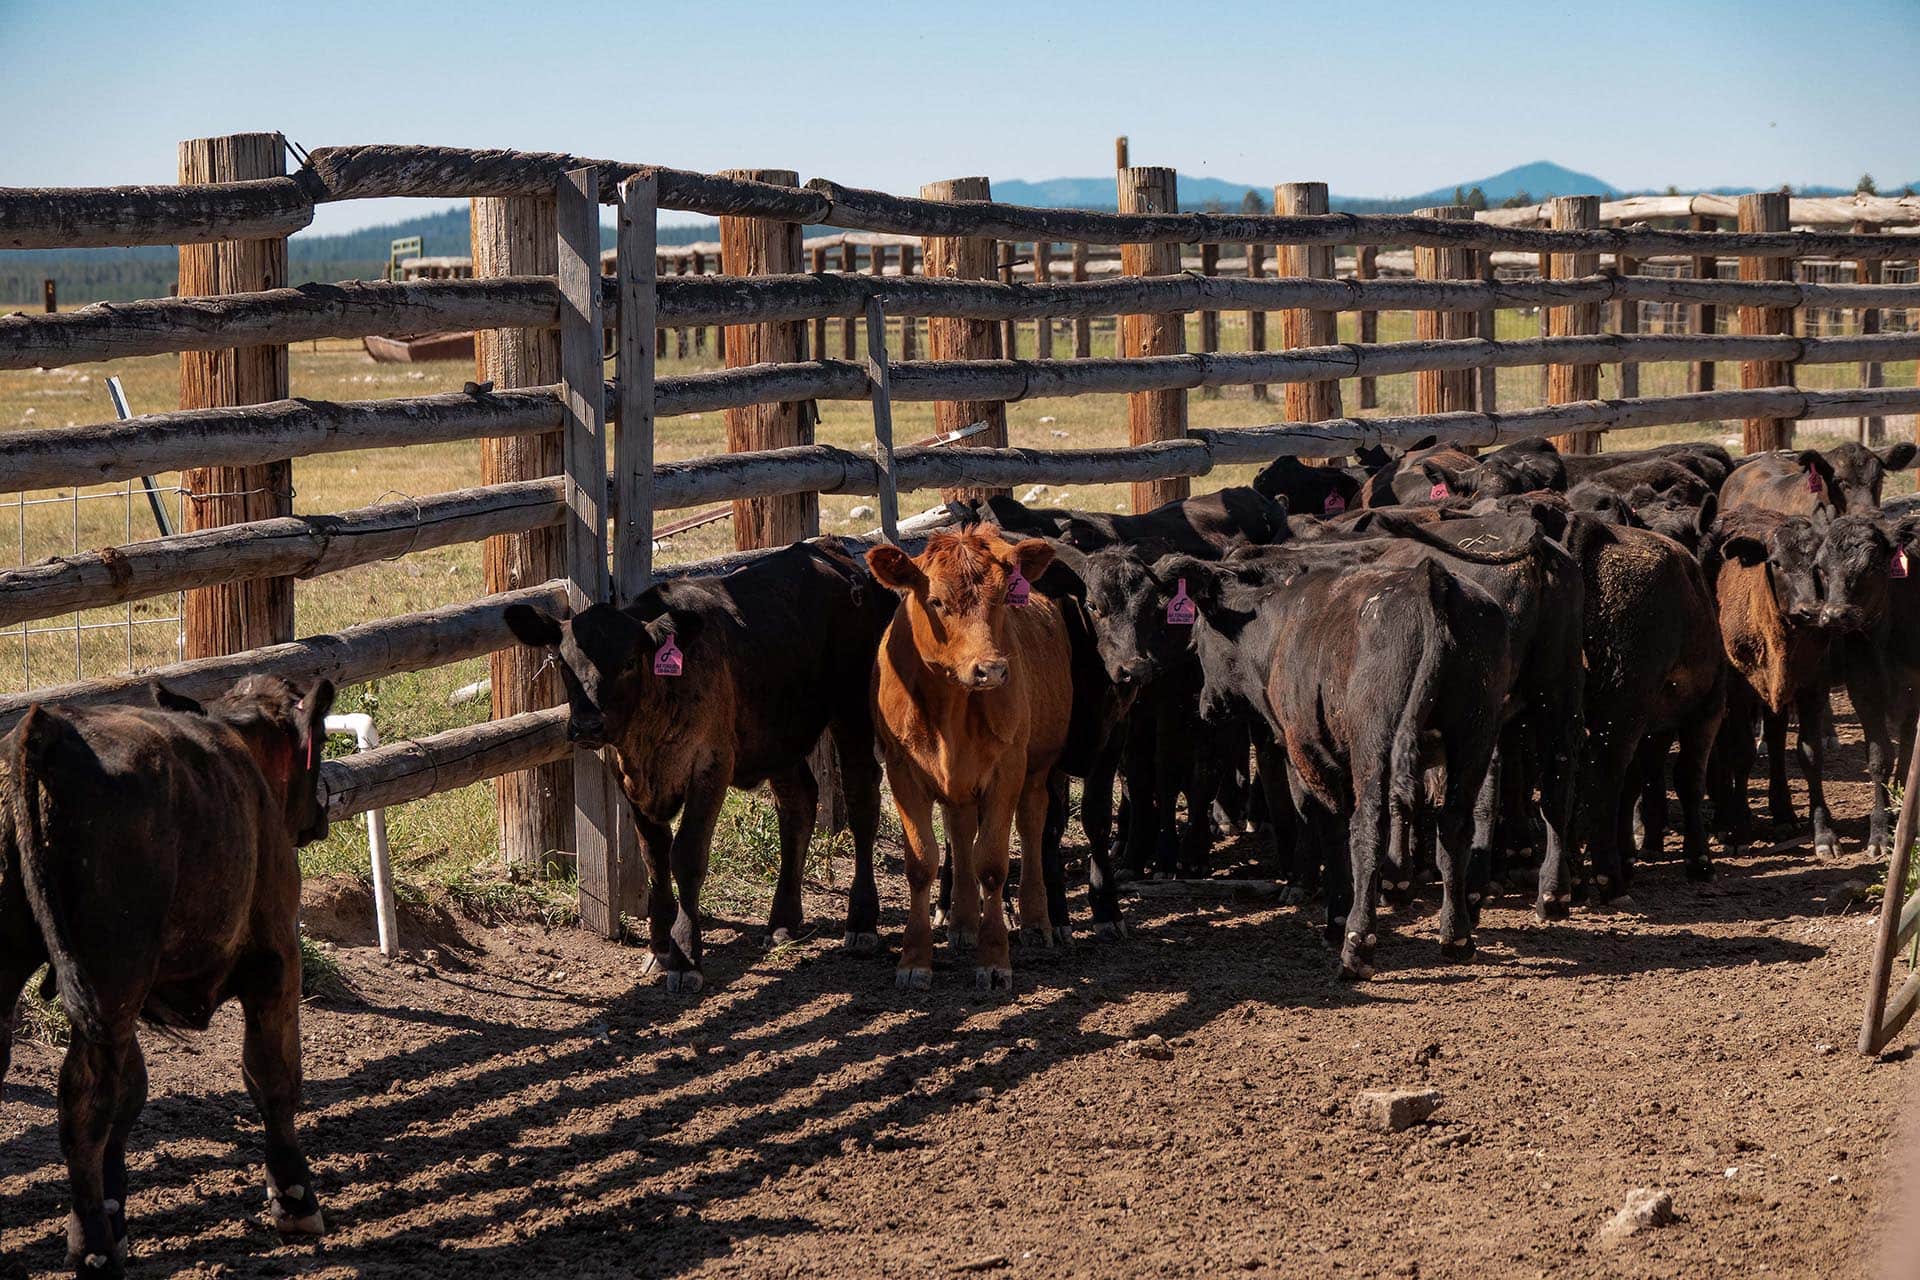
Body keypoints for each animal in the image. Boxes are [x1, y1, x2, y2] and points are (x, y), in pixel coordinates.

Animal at [0, 675, 335, 1277]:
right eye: (318, 740)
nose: (320, 810)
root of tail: (47, 726)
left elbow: (131, 1095)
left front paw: (116, 1211)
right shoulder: (277, 957)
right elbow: (273, 1076)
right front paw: (294, 1197)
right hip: (110, 977)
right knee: (82, 1101)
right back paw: (92, 1246)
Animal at [504, 540, 895, 992]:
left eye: (629, 662)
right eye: (563, 663)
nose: (587, 725)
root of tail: (833, 550)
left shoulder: (710, 767)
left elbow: (686, 856)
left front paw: (686, 955)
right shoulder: (629, 777)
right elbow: (654, 857)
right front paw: (660, 946)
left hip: (852, 708)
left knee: (862, 797)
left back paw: (861, 921)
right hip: (777, 736)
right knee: (798, 804)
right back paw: (782, 920)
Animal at [867, 529, 1073, 990]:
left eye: (1001, 599)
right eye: (936, 601)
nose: (991, 670)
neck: (951, 704)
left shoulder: (1007, 769)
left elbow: (992, 864)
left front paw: (994, 959)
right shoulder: (901, 770)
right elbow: (922, 862)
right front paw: (914, 960)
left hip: (1037, 768)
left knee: (1031, 827)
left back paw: (1036, 921)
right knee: (959, 831)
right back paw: (961, 922)